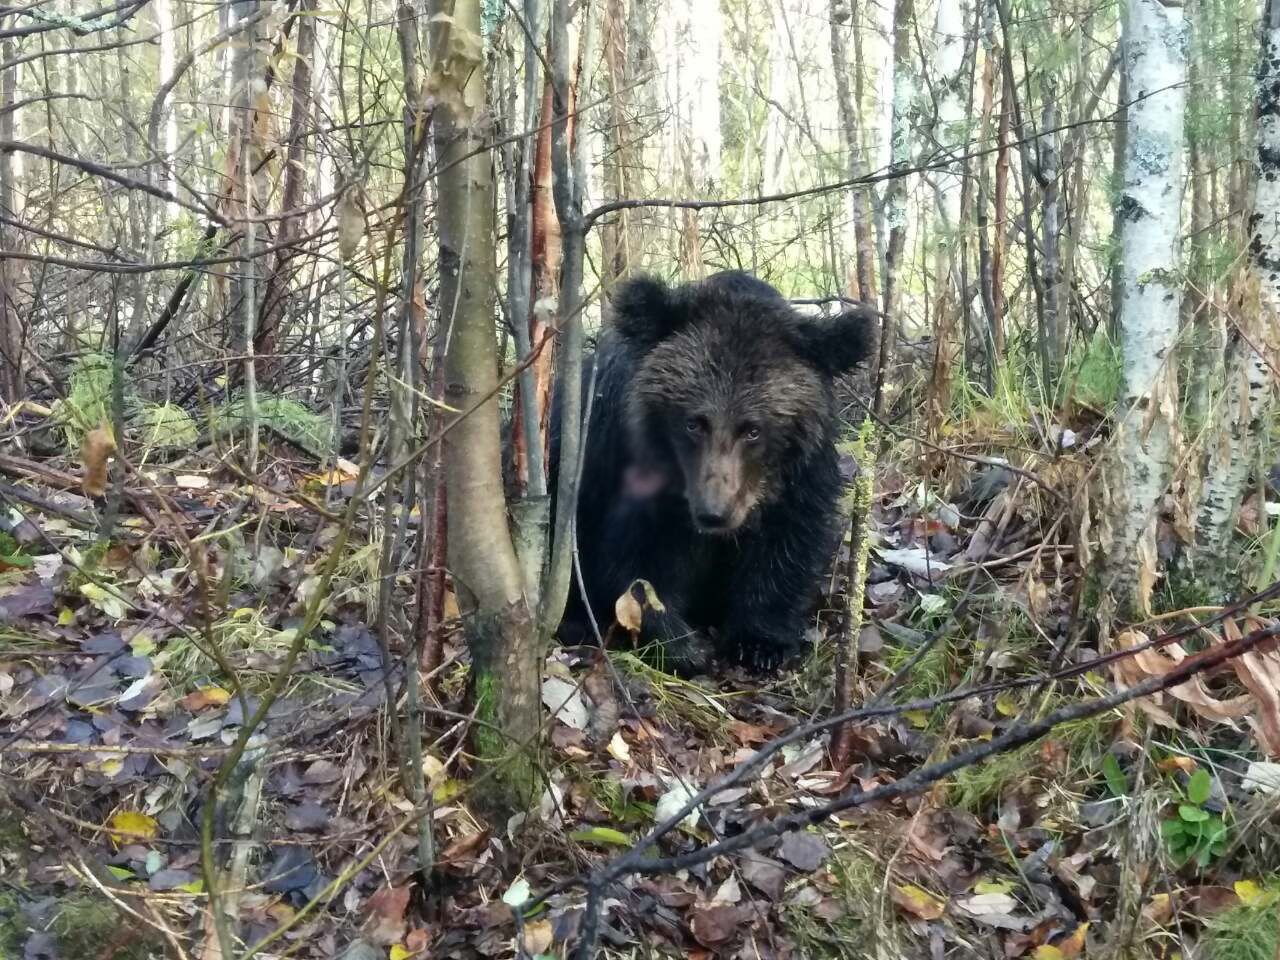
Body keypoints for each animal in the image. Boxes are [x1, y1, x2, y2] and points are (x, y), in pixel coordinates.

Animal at [555, 271, 875, 675]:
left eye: (753, 429)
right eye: (694, 422)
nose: (714, 514)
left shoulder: (801, 475)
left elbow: (789, 542)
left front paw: (760, 642)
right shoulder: (626, 467)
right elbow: (634, 561)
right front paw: (680, 645)